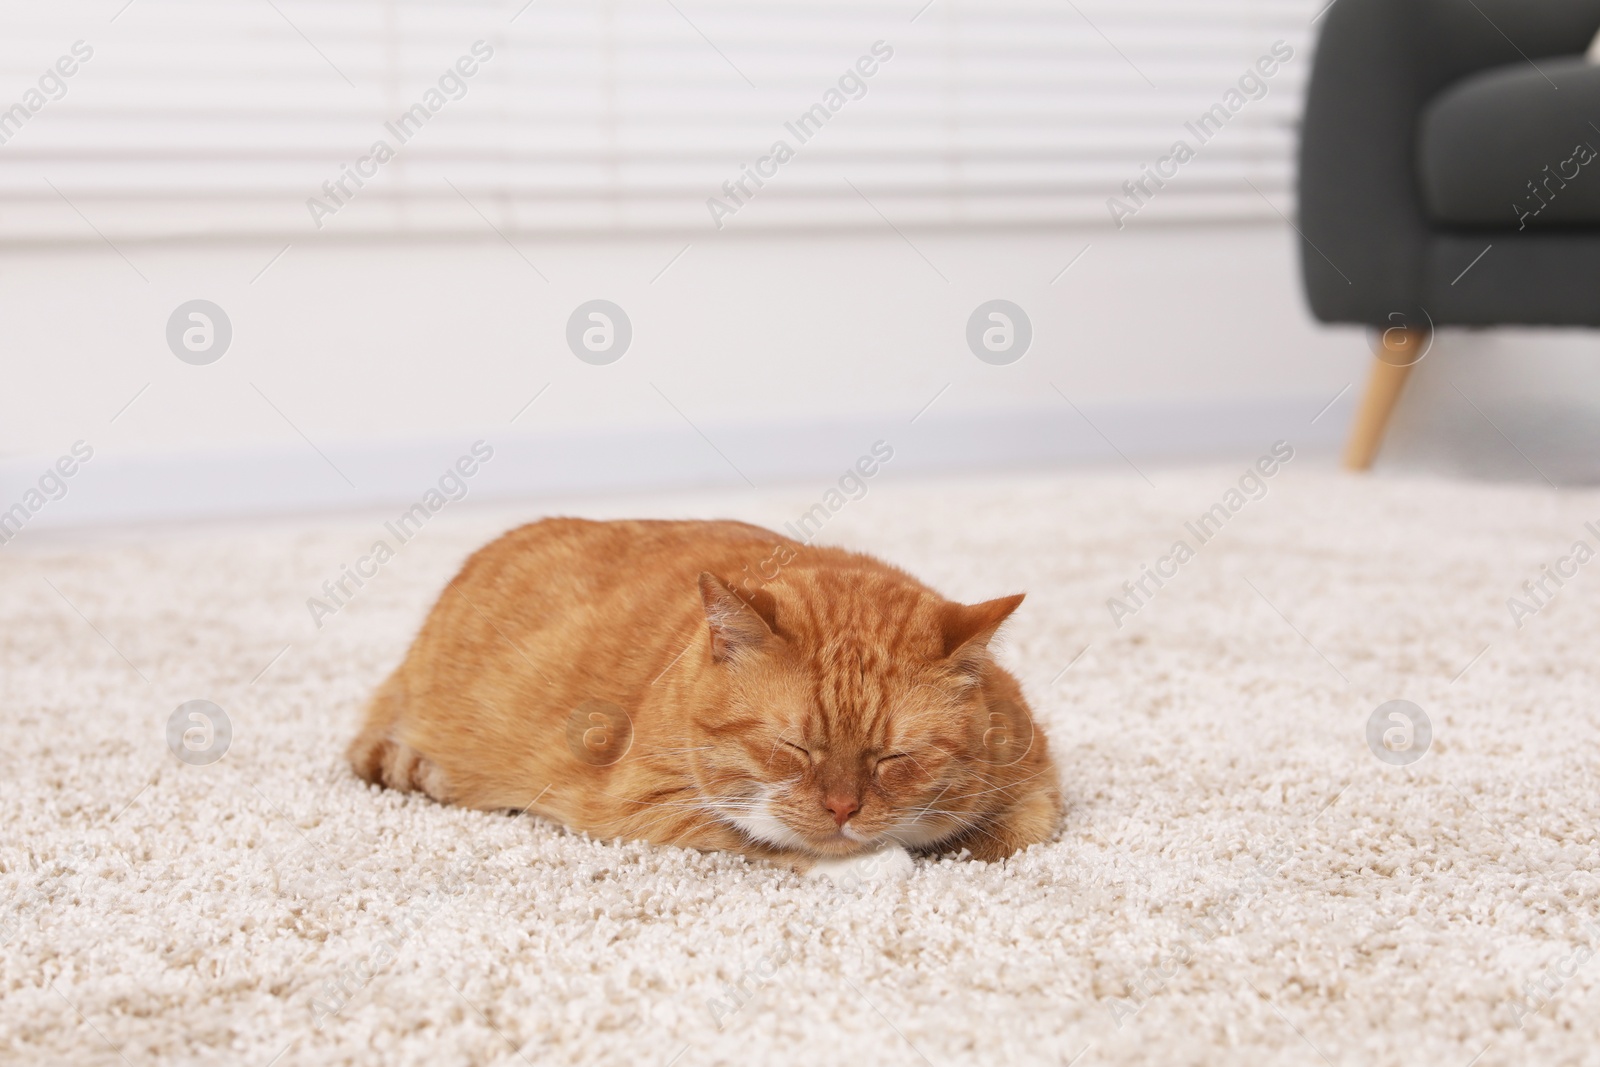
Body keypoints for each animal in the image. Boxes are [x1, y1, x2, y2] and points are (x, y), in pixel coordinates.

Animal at [353, 518, 1062, 876]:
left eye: (894, 758)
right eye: (791, 748)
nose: (842, 809)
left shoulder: (1039, 786)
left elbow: (1009, 832)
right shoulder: (641, 805)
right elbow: (779, 840)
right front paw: (878, 860)